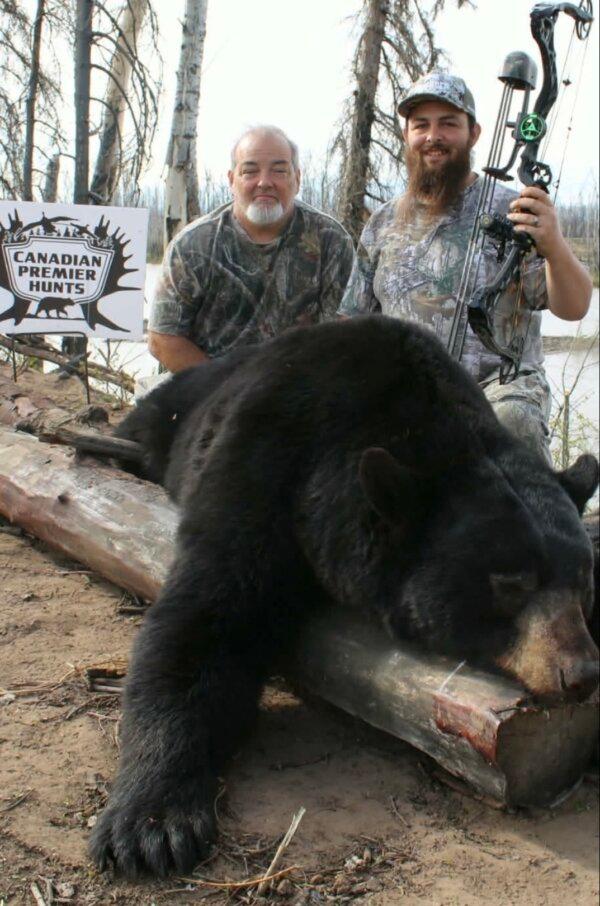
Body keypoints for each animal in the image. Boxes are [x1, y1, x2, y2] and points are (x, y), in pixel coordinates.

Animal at [90, 315, 599, 878]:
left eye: (584, 581)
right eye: (511, 583)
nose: (579, 673)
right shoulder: (266, 455)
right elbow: (204, 618)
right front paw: (152, 825)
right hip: (169, 410)